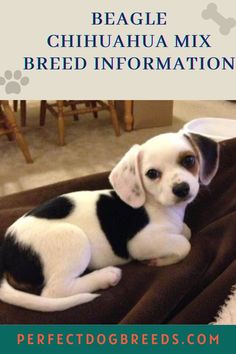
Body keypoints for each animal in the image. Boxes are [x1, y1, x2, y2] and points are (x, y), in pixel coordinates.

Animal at [0, 131, 219, 312]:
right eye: (152, 174)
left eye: (189, 160)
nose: (181, 189)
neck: (160, 205)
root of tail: (7, 253)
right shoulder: (140, 243)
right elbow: (184, 245)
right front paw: (158, 260)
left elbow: (186, 231)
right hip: (74, 238)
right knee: (54, 291)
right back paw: (106, 276)